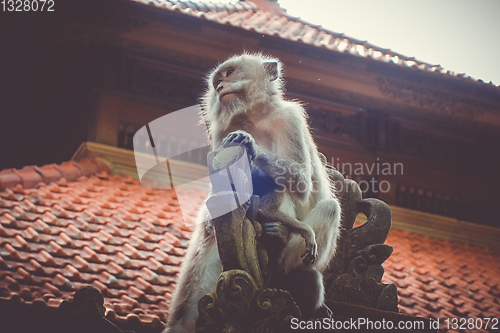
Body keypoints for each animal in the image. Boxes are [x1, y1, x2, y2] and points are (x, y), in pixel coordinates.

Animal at [164, 53, 340, 330]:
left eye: (229, 73)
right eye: (217, 80)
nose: (220, 86)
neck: (252, 117)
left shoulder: (289, 119)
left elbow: (301, 181)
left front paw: (250, 145)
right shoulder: (220, 133)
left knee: (327, 209)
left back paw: (288, 266)